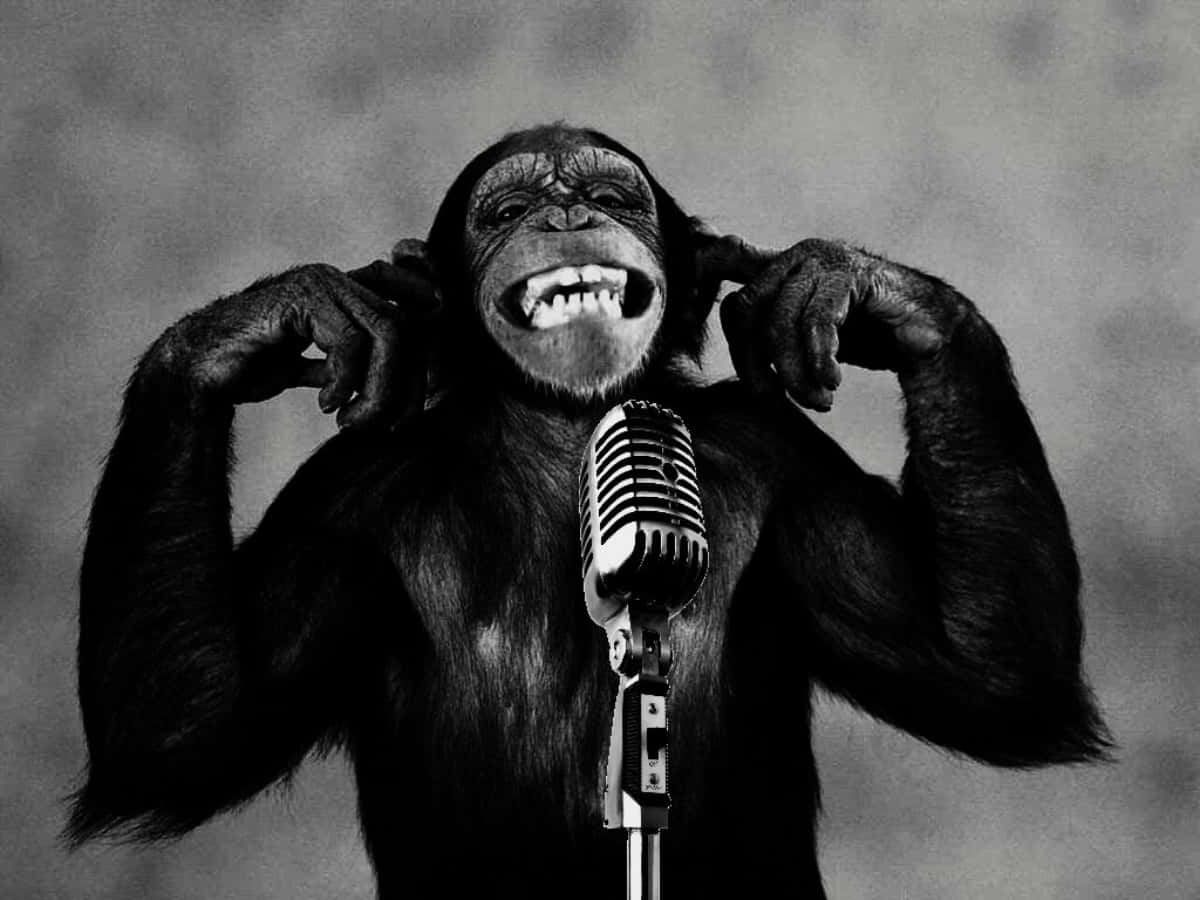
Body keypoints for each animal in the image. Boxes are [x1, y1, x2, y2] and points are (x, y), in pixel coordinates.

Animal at [68, 124, 1109, 898]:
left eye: (612, 199)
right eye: (508, 210)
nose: (566, 214)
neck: (572, 433)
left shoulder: (787, 467)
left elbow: (984, 669)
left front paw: (844, 284)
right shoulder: (341, 505)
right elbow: (183, 725)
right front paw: (270, 322)